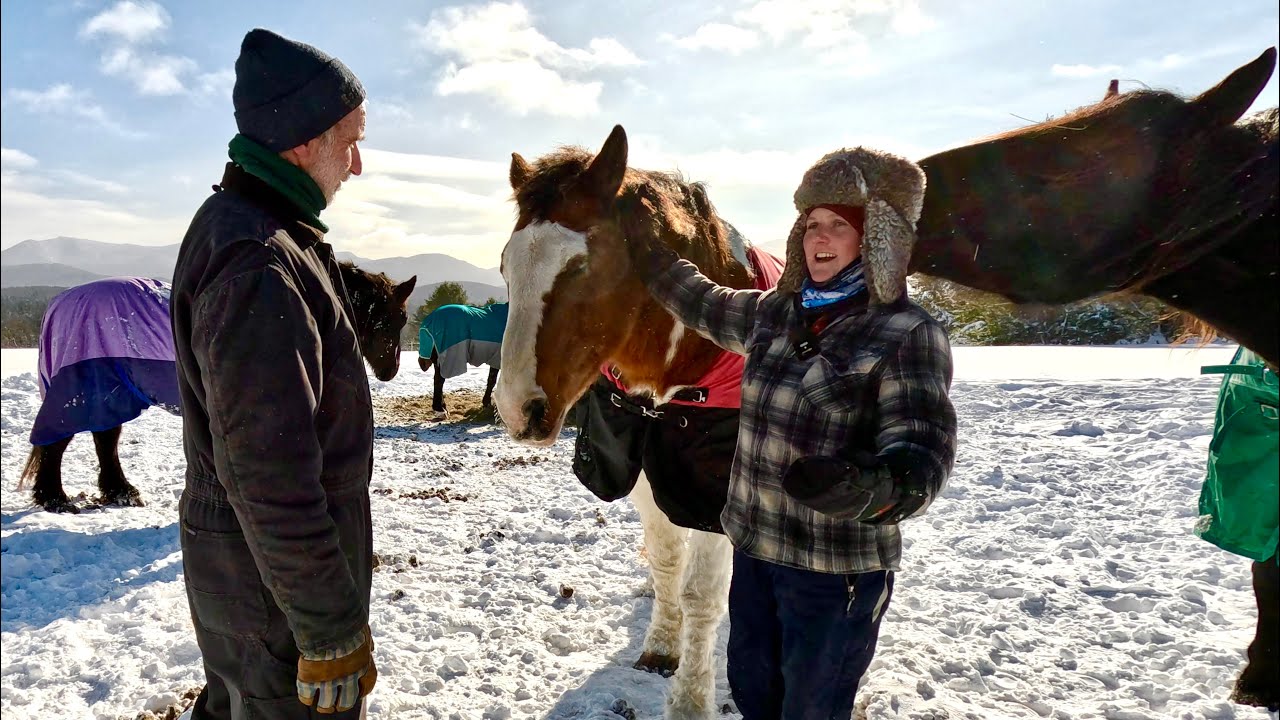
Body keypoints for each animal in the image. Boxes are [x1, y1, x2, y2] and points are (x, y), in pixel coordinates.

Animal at [19, 261, 416, 514]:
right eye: (392, 318)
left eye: (402, 319)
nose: (391, 369)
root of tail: (58, 304)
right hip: (81, 393)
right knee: (57, 443)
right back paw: (55, 499)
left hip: (113, 392)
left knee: (105, 439)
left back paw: (120, 492)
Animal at [495, 125, 784, 720]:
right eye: (506, 266)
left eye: (580, 266)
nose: (516, 409)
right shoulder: (649, 473)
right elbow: (669, 563)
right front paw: (662, 646)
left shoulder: (717, 488)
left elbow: (700, 593)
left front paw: (691, 699)